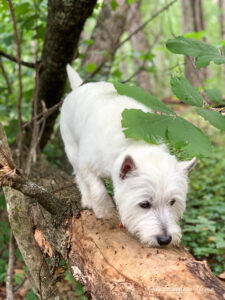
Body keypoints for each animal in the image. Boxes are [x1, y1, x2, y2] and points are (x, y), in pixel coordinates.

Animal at [59, 65, 195, 246]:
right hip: (71, 146)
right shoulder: (86, 162)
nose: (165, 240)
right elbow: (97, 188)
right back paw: (87, 200)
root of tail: (79, 87)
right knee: (79, 176)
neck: (136, 144)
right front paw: (103, 210)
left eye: (172, 202)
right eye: (144, 204)